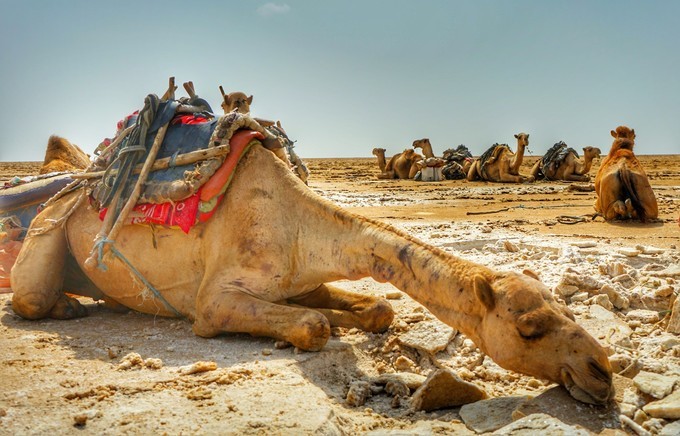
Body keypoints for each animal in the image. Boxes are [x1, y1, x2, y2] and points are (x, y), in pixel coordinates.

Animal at [13, 113, 612, 406]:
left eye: (566, 310)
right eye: (529, 328)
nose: (601, 371)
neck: (301, 226)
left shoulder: (301, 278)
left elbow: (376, 309)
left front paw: (353, 316)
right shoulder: (213, 302)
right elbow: (312, 326)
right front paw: (328, 325)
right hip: (48, 230)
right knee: (29, 297)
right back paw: (64, 307)